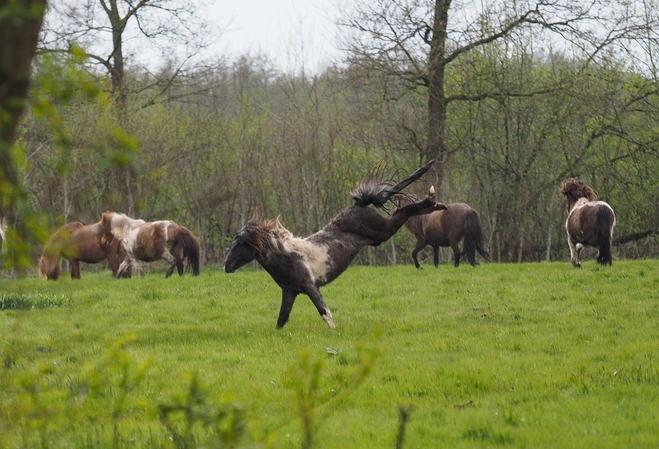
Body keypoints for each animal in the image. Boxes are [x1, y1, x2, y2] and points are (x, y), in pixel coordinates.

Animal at [226, 159, 448, 328]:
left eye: (241, 244)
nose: (226, 266)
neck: (288, 256)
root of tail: (359, 205)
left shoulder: (310, 286)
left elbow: (324, 312)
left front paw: (334, 332)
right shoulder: (290, 292)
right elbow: (281, 320)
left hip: (384, 231)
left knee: (405, 210)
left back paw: (433, 199)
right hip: (380, 236)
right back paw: (437, 204)